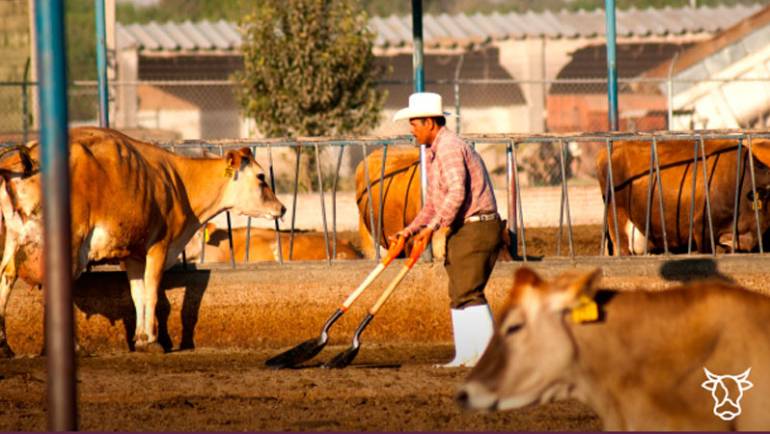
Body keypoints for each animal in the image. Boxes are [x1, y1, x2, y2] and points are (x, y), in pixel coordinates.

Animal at [0, 126, 284, 356]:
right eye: (261, 177)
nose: (281, 208)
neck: (179, 183)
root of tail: (29, 156)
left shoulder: (133, 254)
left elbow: (137, 294)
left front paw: (139, 338)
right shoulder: (159, 245)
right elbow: (152, 291)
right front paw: (153, 341)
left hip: (14, 236)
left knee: (6, 276)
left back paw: (6, 346)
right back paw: (71, 347)